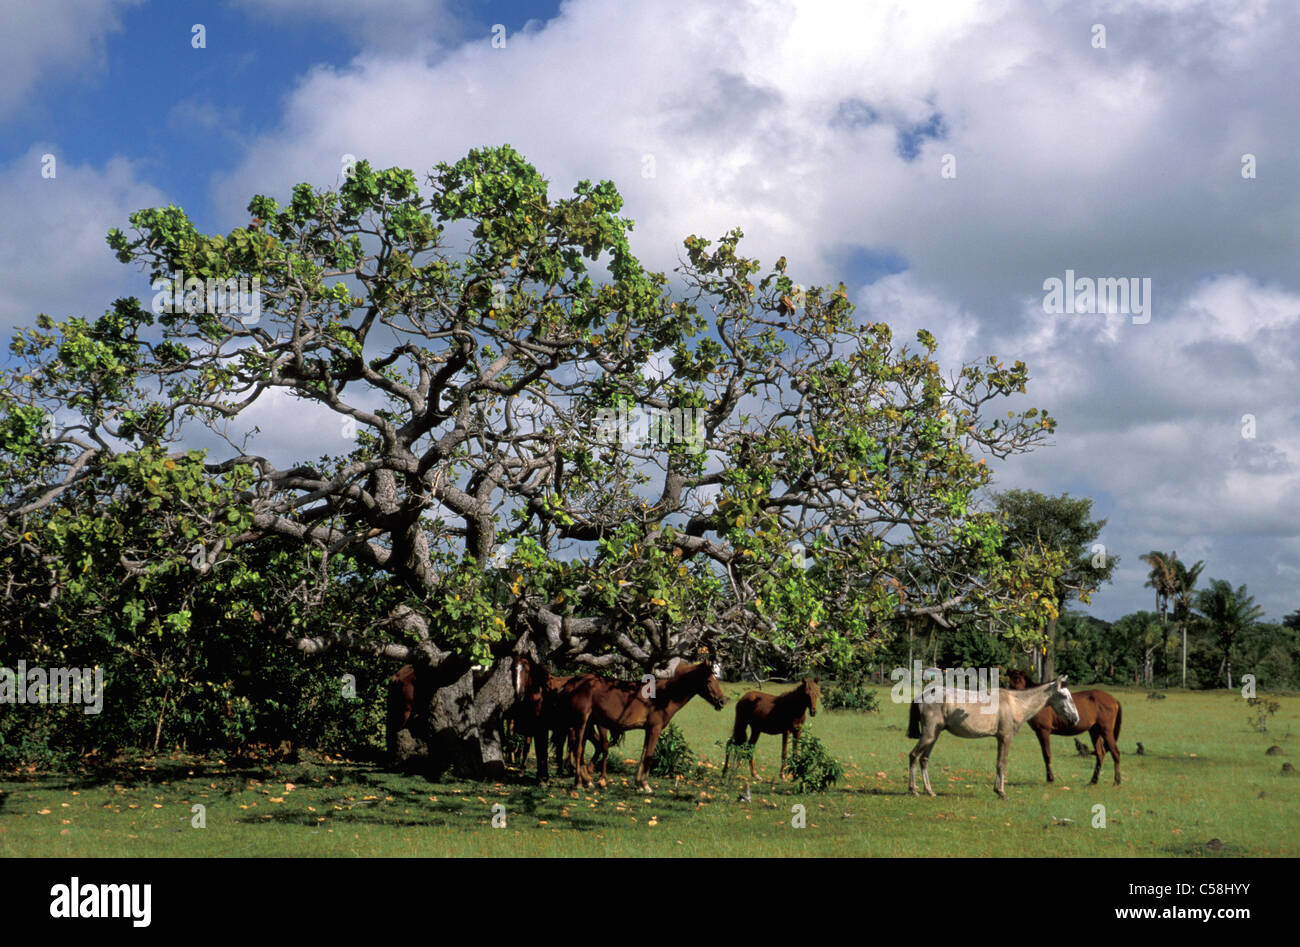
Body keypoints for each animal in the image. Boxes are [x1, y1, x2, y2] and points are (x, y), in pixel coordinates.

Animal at [569, 663, 733, 796]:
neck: (662, 696)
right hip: (582, 722)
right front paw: (646, 786)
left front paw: (639, 784)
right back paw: (579, 784)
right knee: (578, 749)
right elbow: (649, 755)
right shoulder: (655, 729)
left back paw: (588, 781)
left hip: (588, 725)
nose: (722, 701)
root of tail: (574, 682)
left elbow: (643, 754)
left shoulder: (648, 730)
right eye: (708, 680)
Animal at [904, 671, 1076, 801]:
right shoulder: (1005, 738)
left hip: (934, 735)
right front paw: (1002, 792)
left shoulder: (1000, 739)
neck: (1015, 704)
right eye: (1064, 696)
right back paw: (914, 790)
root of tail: (923, 695)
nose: (1075, 718)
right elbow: (1002, 764)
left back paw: (929, 791)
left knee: (924, 759)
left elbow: (998, 763)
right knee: (913, 756)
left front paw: (997, 790)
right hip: (928, 735)